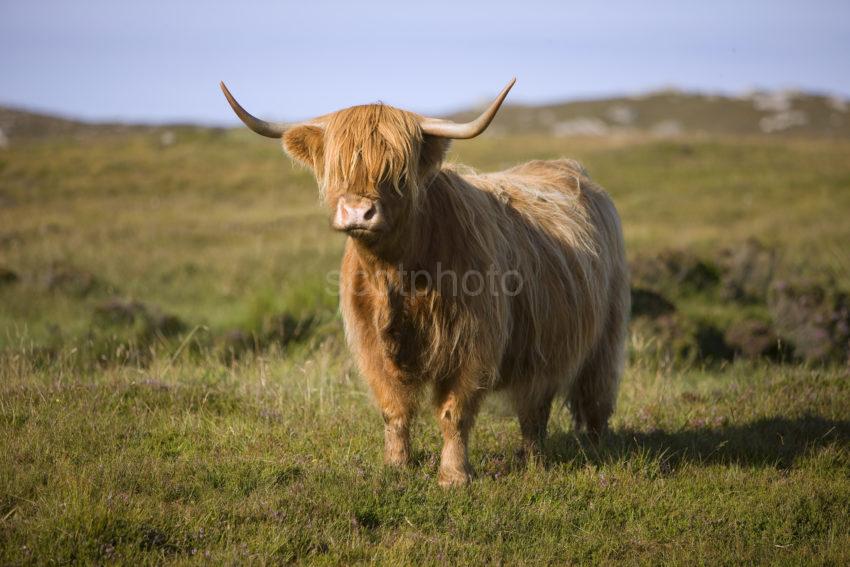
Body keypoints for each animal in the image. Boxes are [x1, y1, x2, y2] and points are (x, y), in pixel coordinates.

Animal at [220, 80, 628, 488]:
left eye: (396, 171)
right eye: (338, 167)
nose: (358, 212)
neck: (395, 275)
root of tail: (568, 168)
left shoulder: (472, 344)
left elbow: (453, 412)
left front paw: (454, 476)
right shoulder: (371, 344)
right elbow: (394, 408)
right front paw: (396, 465)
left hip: (605, 336)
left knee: (593, 397)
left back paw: (595, 452)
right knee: (535, 405)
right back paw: (534, 461)